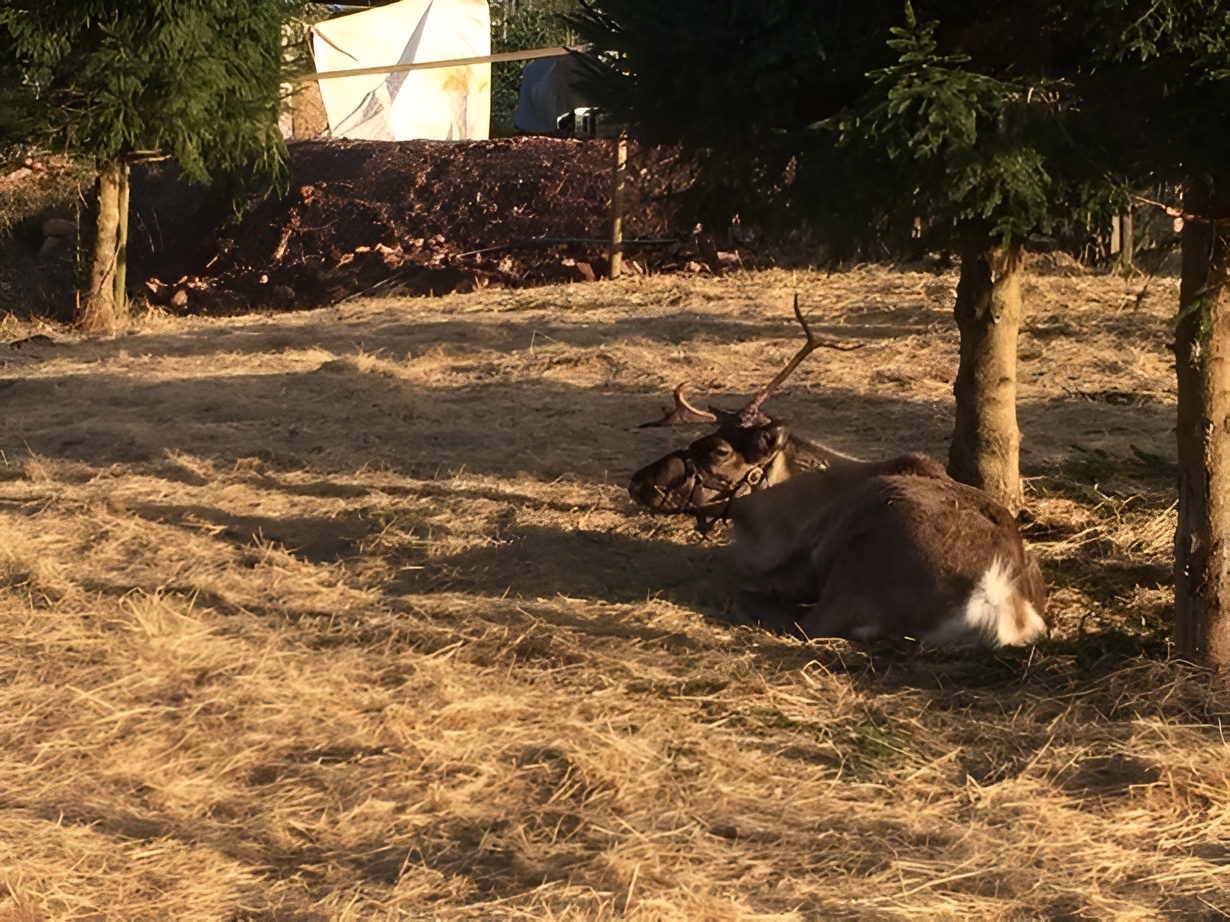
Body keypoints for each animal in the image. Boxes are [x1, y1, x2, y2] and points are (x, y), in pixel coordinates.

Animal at [628, 296, 1048, 647]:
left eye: (719, 451)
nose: (637, 482)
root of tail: (1004, 604)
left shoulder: (799, 565)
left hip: (855, 571)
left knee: (797, 622)